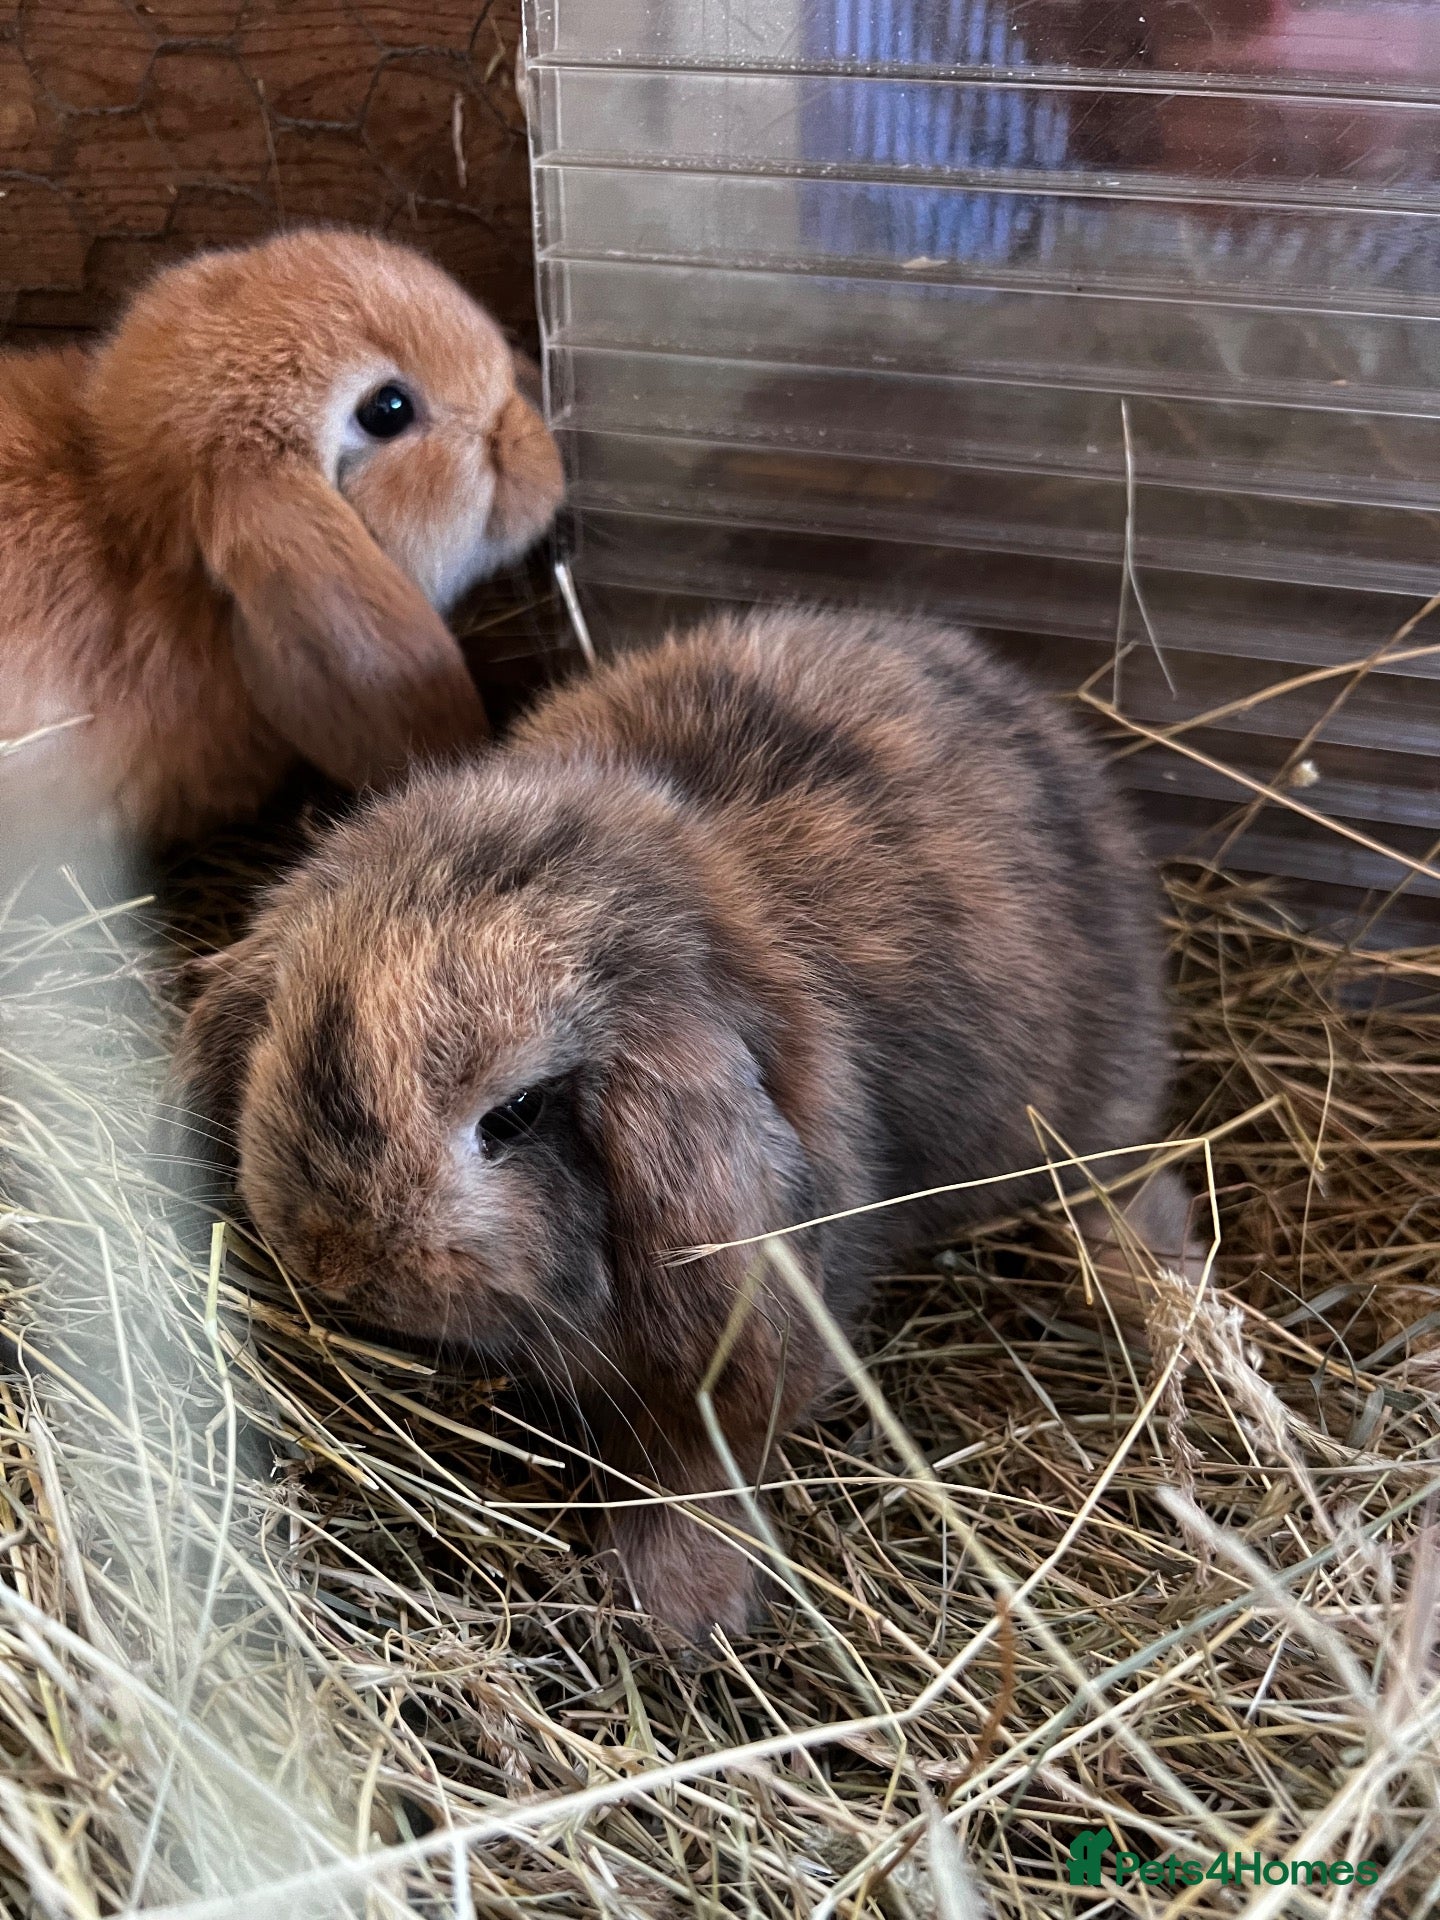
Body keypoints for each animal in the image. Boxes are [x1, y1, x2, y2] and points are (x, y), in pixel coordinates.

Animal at [170, 607, 1199, 1640]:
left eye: (516, 1113)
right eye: (299, 1024)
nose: (333, 1262)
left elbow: (701, 1458)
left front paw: (675, 1608)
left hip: (1088, 1118)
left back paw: (1161, 1292)